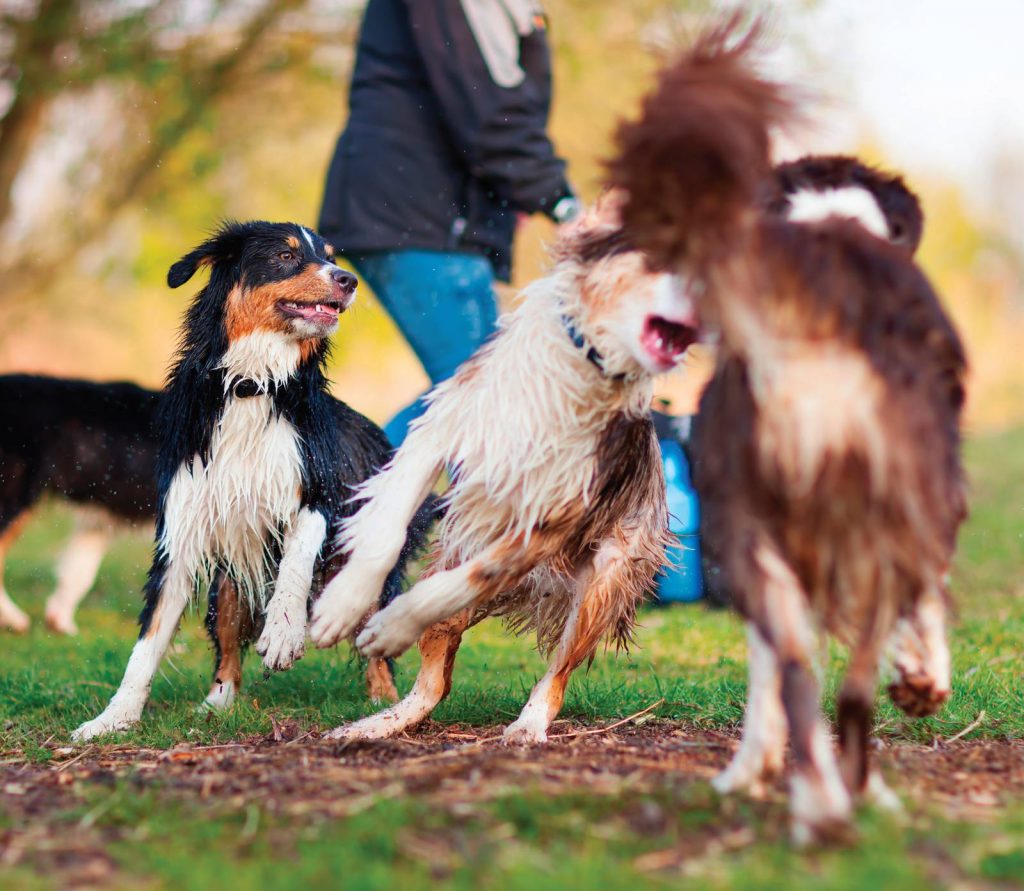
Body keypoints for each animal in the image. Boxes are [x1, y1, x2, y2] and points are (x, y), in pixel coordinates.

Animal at [307, 196, 700, 745]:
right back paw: (369, 725)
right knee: (434, 683)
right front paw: (343, 604)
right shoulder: (442, 428)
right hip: (452, 552)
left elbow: (471, 577)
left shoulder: (556, 514)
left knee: (552, 675)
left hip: (604, 582)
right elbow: (387, 526)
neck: (585, 368)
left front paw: (390, 622)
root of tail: (537, 590)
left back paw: (527, 725)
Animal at [606, 27, 966, 847]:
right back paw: (848, 793)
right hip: (847, 516)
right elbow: (925, 594)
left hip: (753, 524)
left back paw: (821, 801)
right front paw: (922, 679)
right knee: (840, 676)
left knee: (802, 667)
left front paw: (758, 766)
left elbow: (772, 663)